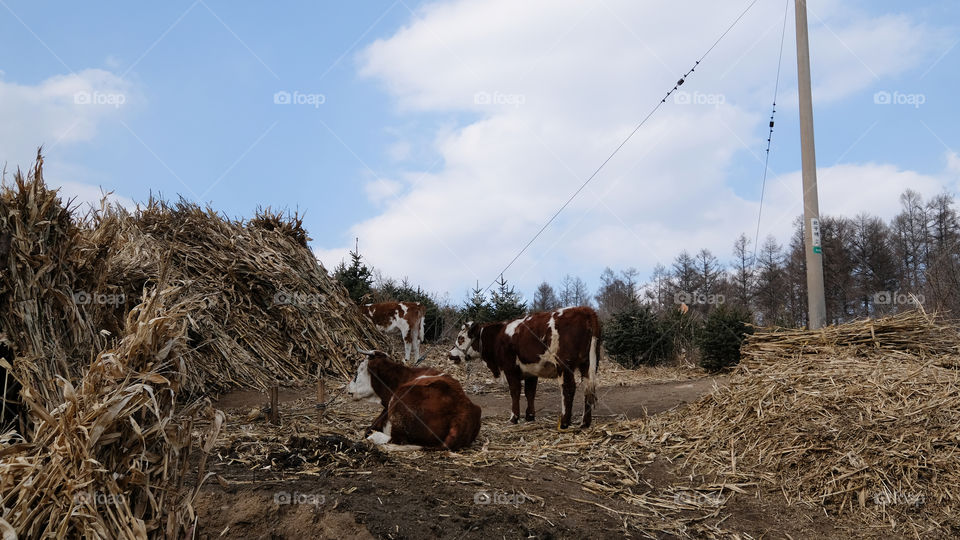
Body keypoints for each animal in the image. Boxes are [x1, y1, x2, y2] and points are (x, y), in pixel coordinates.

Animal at [448, 307, 600, 430]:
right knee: (588, 389)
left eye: (461, 338)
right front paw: (530, 416)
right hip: (587, 365)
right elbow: (530, 393)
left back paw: (564, 422)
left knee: (568, 389)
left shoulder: (510, 369)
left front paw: (514, 417)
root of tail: (585, 310)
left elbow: (515, 392)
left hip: (564, 365)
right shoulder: (531, 371)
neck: (498, 336)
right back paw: (585, 423)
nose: (450, 354)